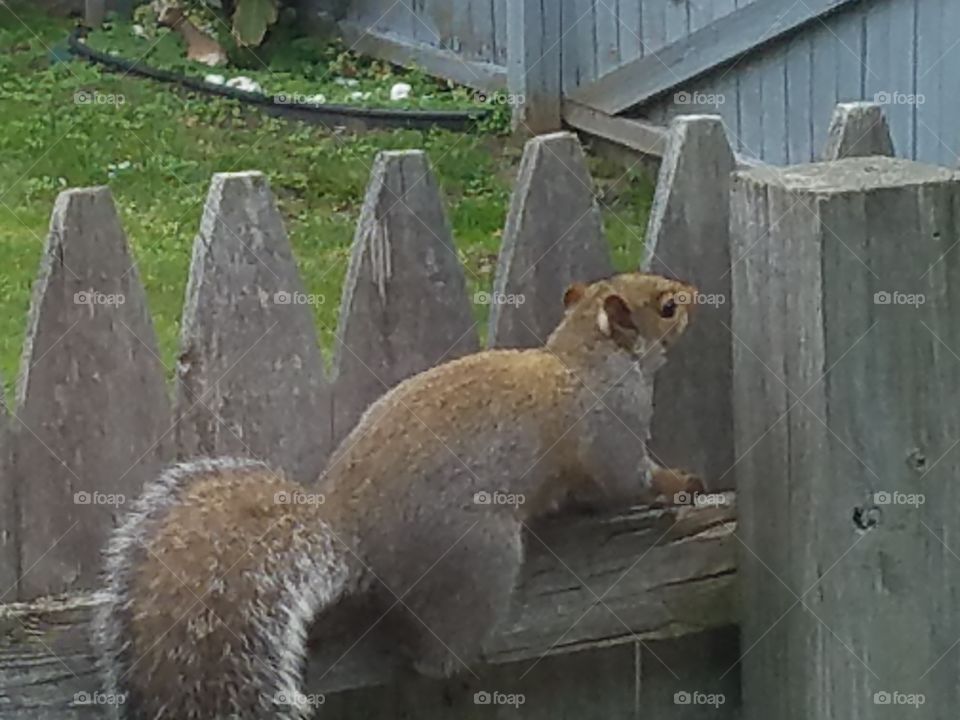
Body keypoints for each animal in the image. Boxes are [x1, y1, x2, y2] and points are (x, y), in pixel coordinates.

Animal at [93, 271, 704, 719]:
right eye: (667, 307)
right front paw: (679, 483)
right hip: (477, 560)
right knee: (435, 649)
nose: (696, 294)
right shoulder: (610, 430)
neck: (582, 357)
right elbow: (624, 482)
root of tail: (345, 528)